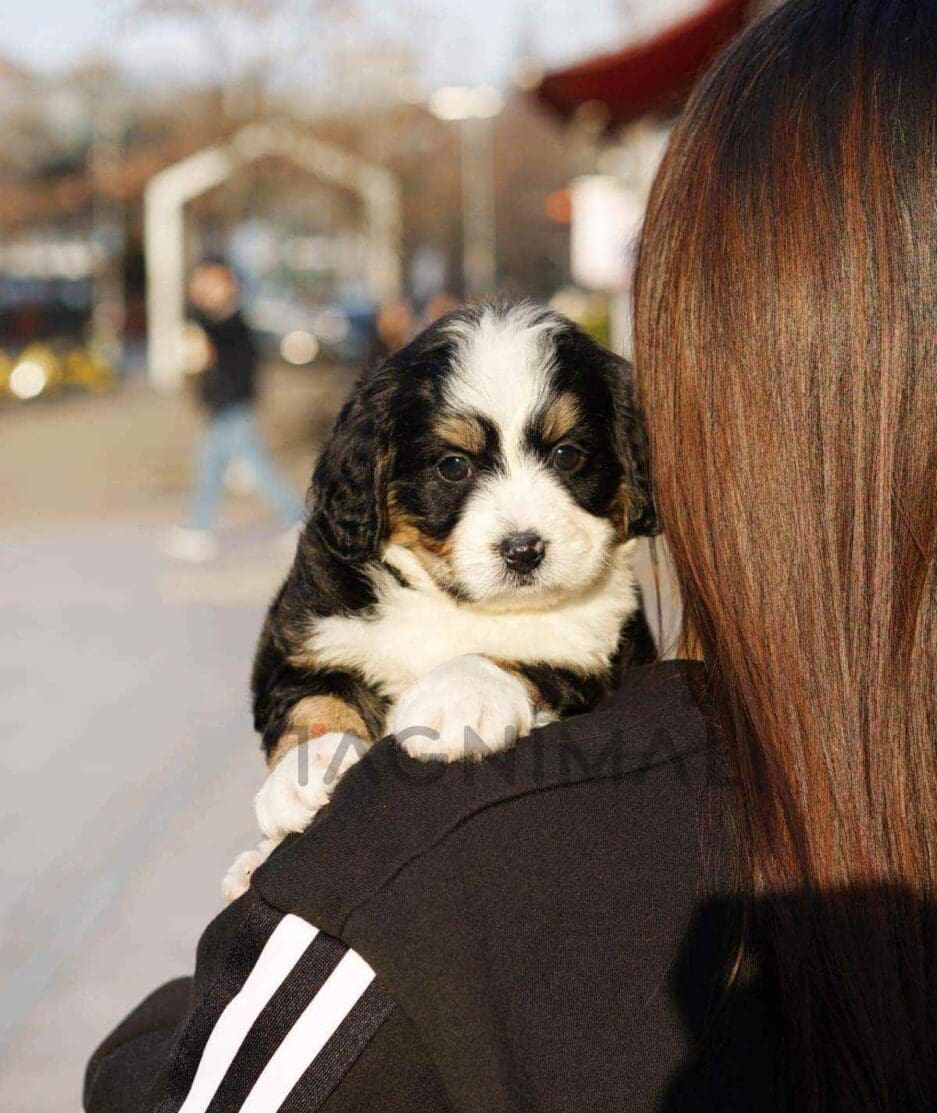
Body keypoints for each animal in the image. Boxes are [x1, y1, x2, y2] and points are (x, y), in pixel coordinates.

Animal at [221, 300, 658, 899]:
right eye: (454, 465)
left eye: (567, 455)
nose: (524, 550)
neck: (450, 599)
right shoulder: (301, 634)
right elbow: (314, 700)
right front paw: (303, 774)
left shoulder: (597, 646)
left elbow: (530, 657)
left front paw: (456, 697)